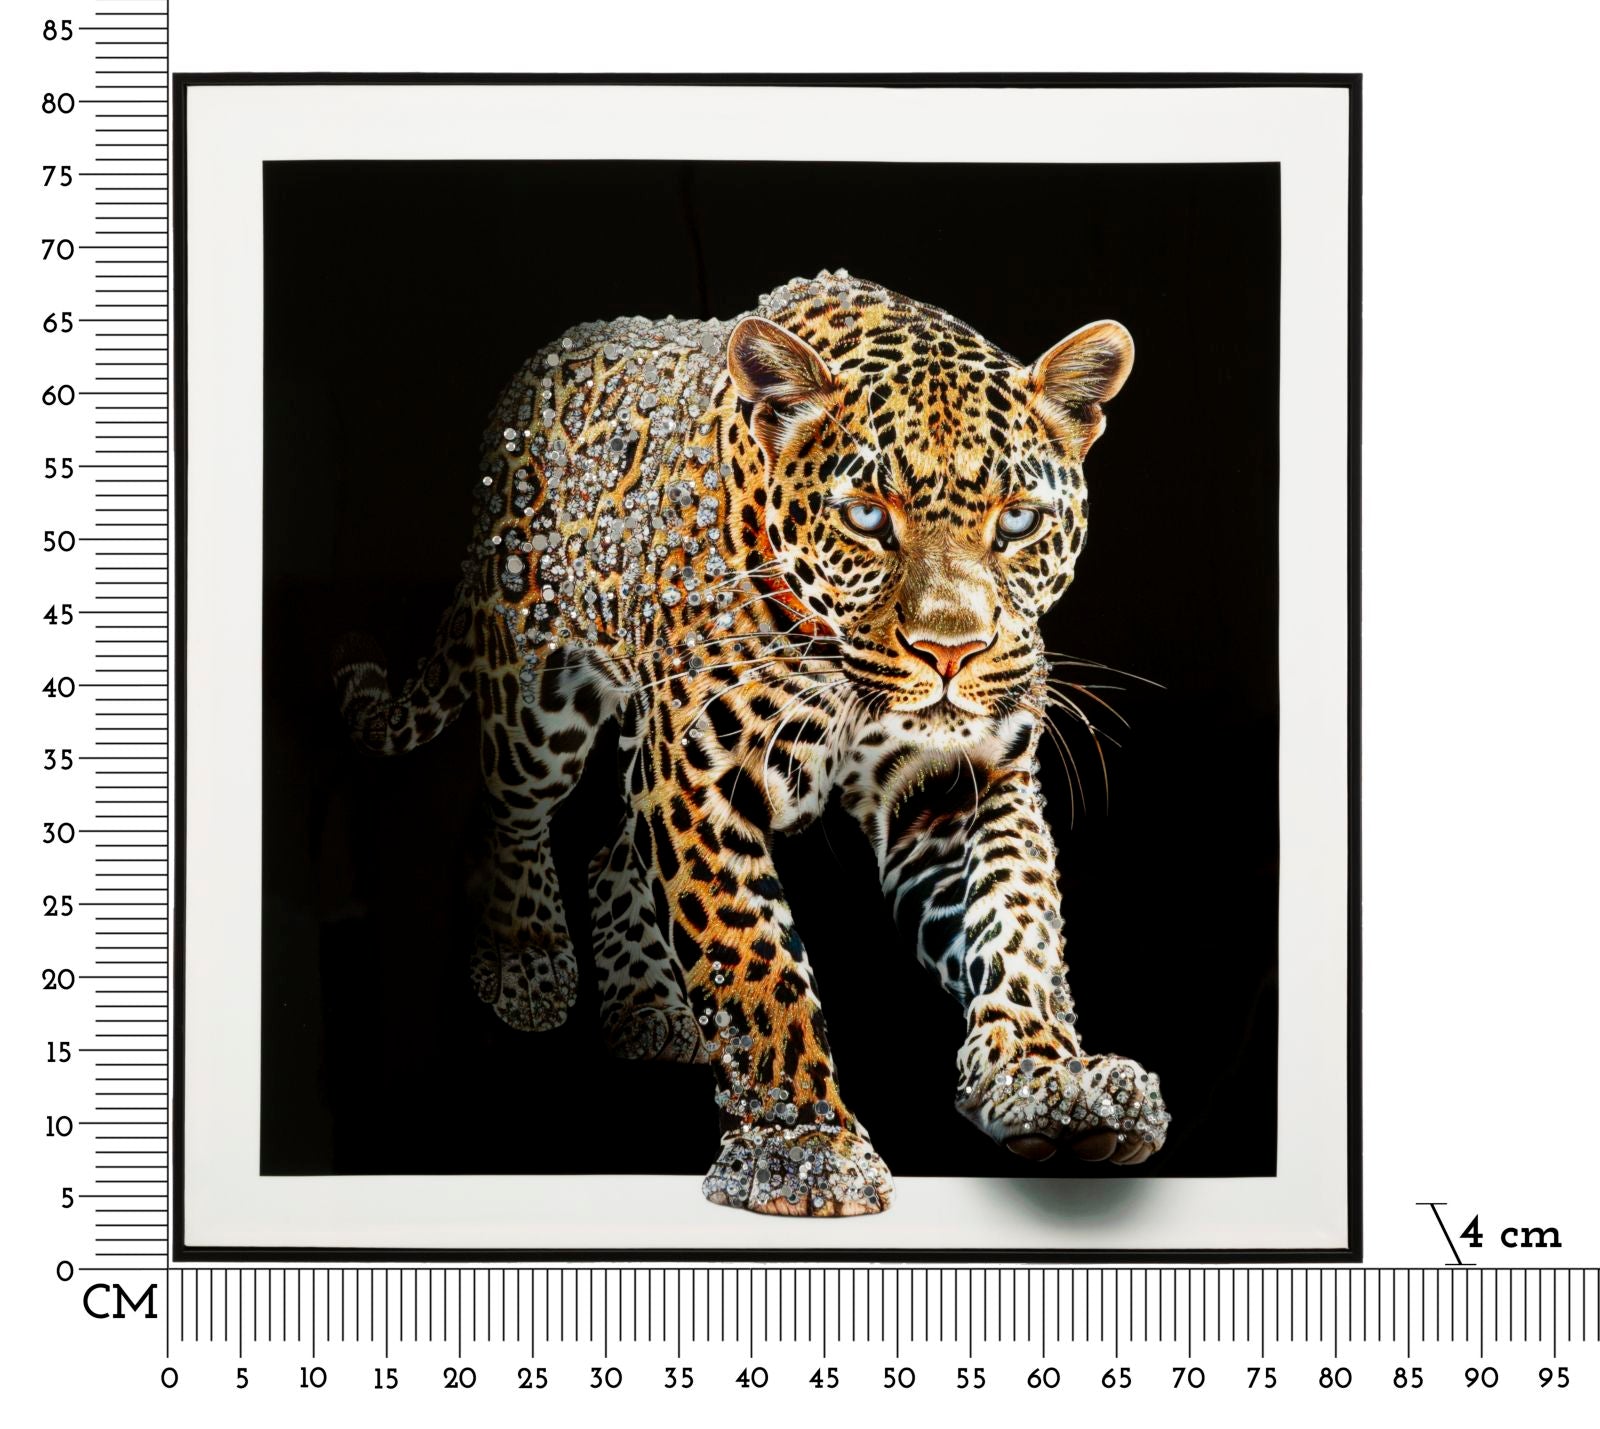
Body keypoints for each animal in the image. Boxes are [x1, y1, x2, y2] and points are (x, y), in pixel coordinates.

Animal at [334, 270, 1170, 1217]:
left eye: (1021, 521)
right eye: (866, 517)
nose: (951, 652)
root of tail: (543, 360)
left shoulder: (960, 779)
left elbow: (1016, 920)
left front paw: (1049, 1082)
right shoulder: (700, 773)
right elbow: (753, 959)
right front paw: (799, 1145)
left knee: (611, 848)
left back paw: (650, 1007)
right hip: (536, 693)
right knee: (506, 810)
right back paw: (527, 957)